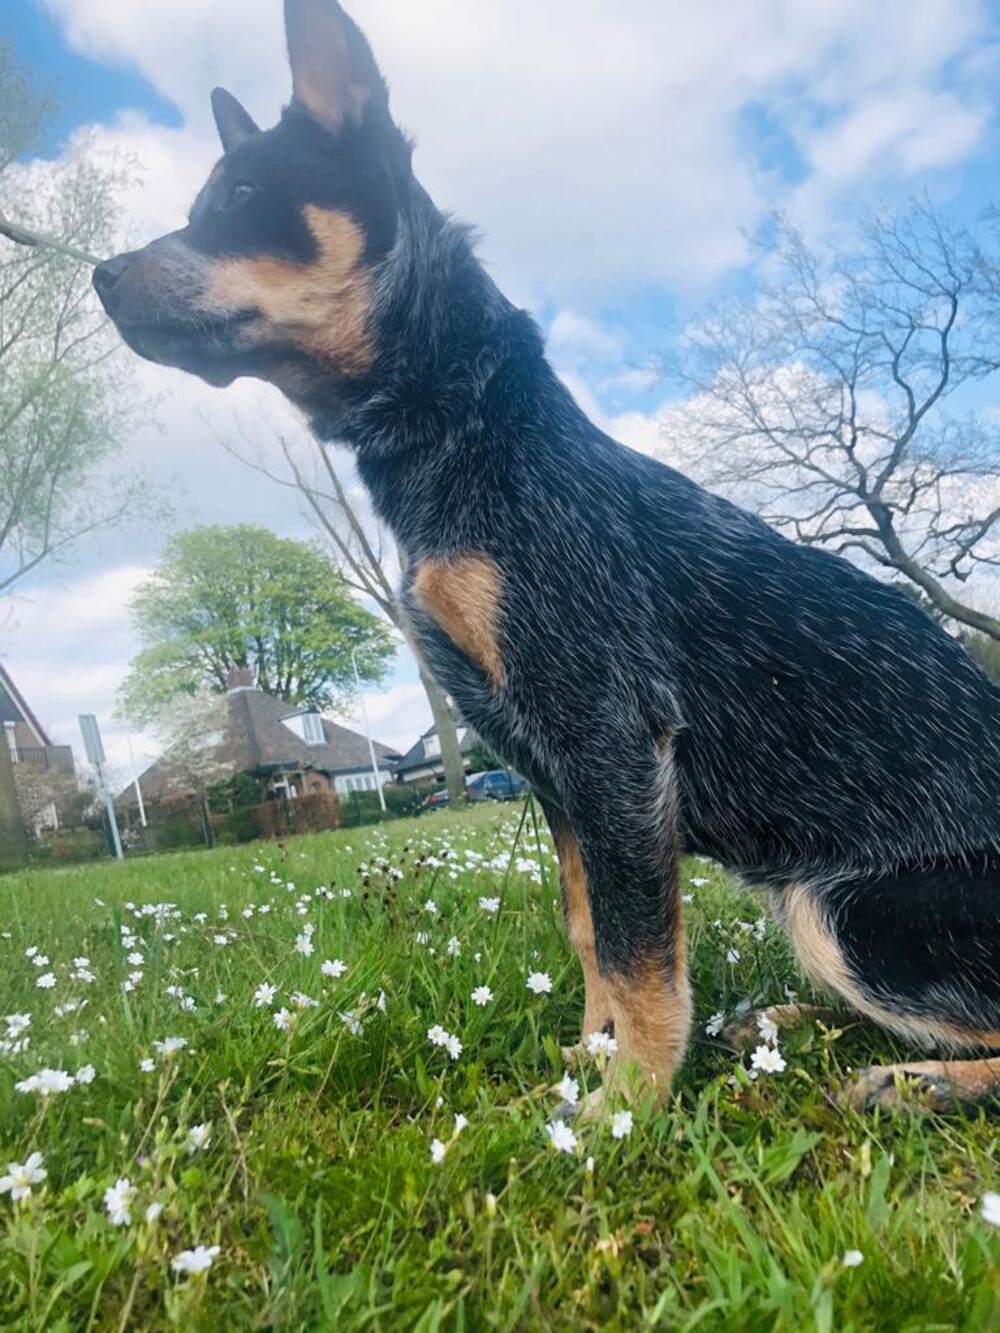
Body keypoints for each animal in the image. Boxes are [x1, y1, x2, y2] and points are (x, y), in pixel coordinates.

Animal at [94, 0, 1000, 1113]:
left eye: (242, 197)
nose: (98, 274)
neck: (470, 434)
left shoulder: (608, 740)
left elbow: (640, 947)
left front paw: (630, 1105)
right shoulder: (558, 778)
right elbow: (590, 933)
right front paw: (592, 1055)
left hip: (846, 908)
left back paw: (916, 1079)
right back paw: (783, 1024)